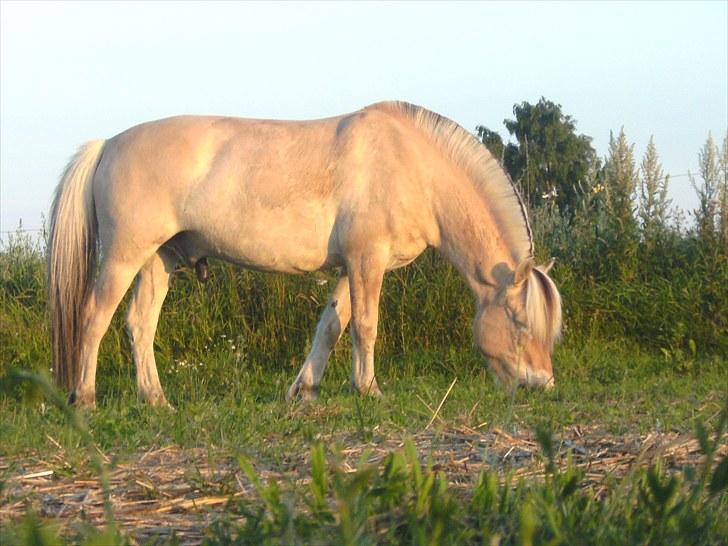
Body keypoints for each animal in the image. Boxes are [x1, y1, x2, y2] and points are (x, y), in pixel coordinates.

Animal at [48, 100, 564, 406]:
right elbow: (365, 327)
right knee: (95, 318)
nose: (540, 384)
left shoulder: (353, 267)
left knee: (140, 324)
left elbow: (331, 325)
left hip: (160, 260)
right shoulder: (367, 261)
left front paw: (306, 388)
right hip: (123, 257)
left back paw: (156, 400)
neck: (412, 165)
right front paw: (369, 388)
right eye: (521, 322)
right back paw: (85, 397)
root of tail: (108, 145)